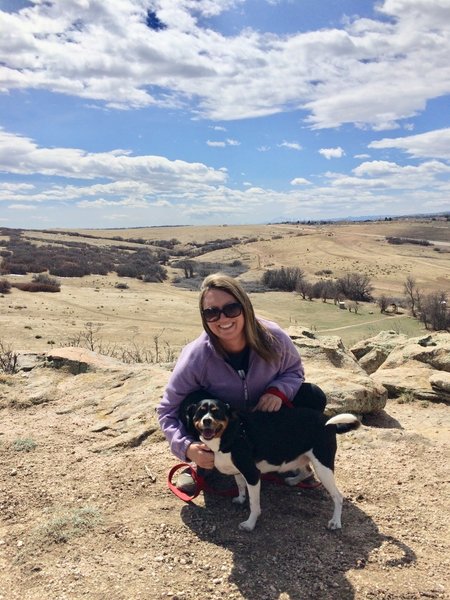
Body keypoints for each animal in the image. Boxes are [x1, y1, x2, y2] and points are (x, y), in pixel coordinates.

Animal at [181, 400, 360, 532]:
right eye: (200, 412)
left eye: (216, 411)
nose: (207, 420)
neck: (231, 433)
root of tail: (329, 423)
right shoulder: (239, 471)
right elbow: (240, 486)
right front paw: (240, 498)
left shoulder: (252, 474)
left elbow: (254, 504)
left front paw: (250, 524)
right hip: (302, 457)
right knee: (307, 471)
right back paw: (293, 480)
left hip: (323, 466)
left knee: (338, 497)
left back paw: (335, 522)